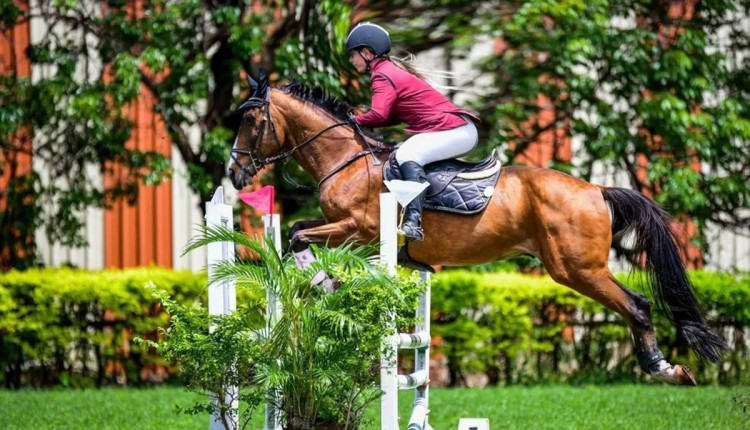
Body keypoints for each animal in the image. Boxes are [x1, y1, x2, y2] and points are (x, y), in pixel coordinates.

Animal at [228, 72, 728, 384]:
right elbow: (298, 228)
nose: (234, 173)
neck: (346, 159)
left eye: (251, 120)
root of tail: (596, 190)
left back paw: (664, 368)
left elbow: (298, 235)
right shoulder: (342, 226)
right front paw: (326, 282)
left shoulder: (360, 228)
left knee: (638, 305)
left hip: (576, 269)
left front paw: (325, 283)